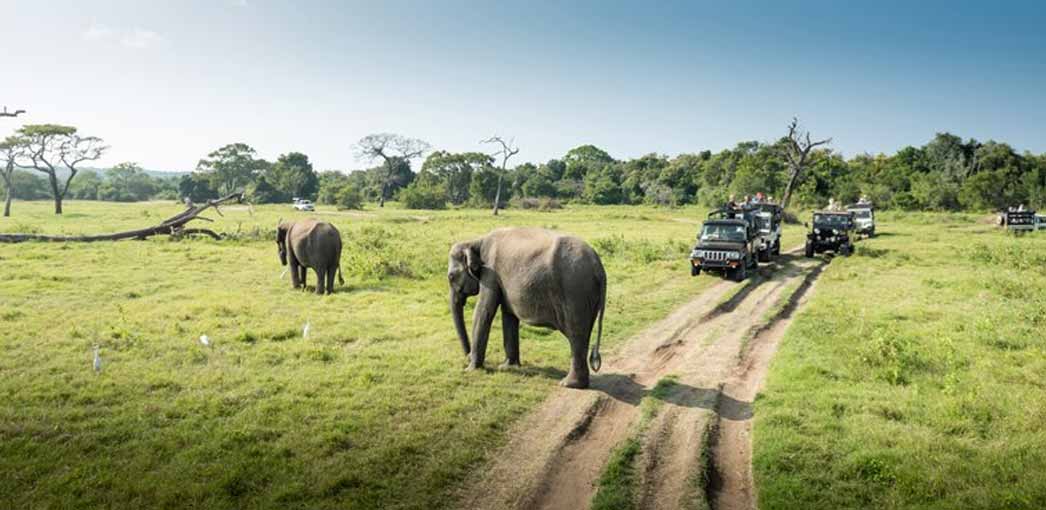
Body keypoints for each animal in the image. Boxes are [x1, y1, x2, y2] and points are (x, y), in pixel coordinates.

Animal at [447, 224, 610, 388]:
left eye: (451, 277)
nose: (467, 356)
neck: (475, 241)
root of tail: (599, 267)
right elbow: (508, 315)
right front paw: (508, 367)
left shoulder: (490, 272)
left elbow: (483, 310)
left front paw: (470, 370)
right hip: (588, 295)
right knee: (583, 335)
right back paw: (579, 384)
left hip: (575, 292)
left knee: (575, 333)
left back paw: (568, 384)